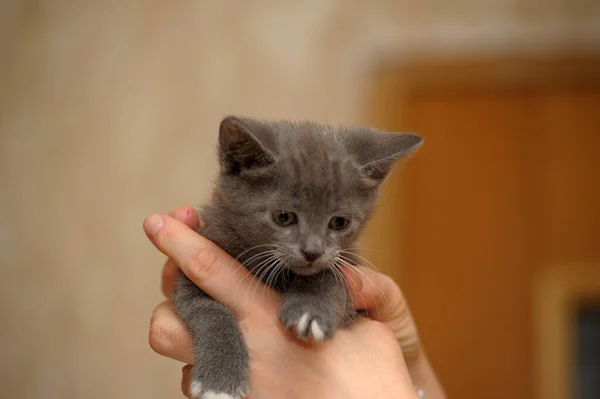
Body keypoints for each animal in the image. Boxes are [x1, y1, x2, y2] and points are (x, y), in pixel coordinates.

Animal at [171, 116, 422, 399]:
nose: (312, 251)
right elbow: (208, 309)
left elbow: (330, 278)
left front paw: (309, 310)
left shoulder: (350, 272)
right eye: (283, 217)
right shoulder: (199, 258)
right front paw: (220, 378)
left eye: (339, 222)